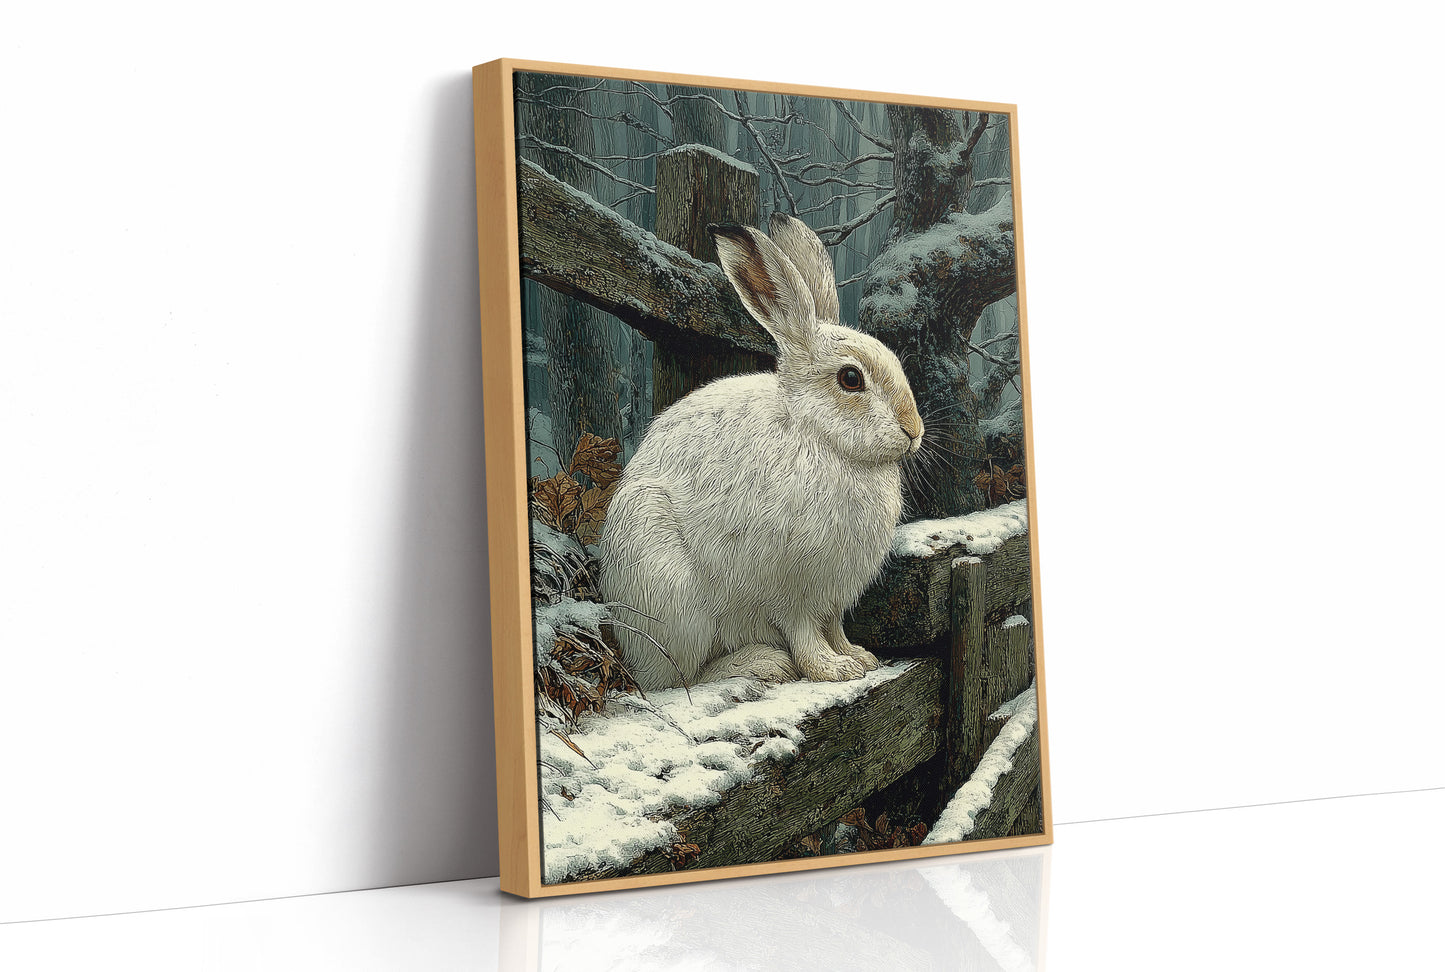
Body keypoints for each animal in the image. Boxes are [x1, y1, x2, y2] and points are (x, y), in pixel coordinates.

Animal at [599, 213, 923, 690]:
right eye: (850, 379)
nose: (913, 430)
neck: (819, 436)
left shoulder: (833, 596)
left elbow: (835, 627)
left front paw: (858, 657)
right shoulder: (793, 590)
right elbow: (805, 634)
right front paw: (832, 669)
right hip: (672, 597)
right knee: (679, 679)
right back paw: (761, 663)